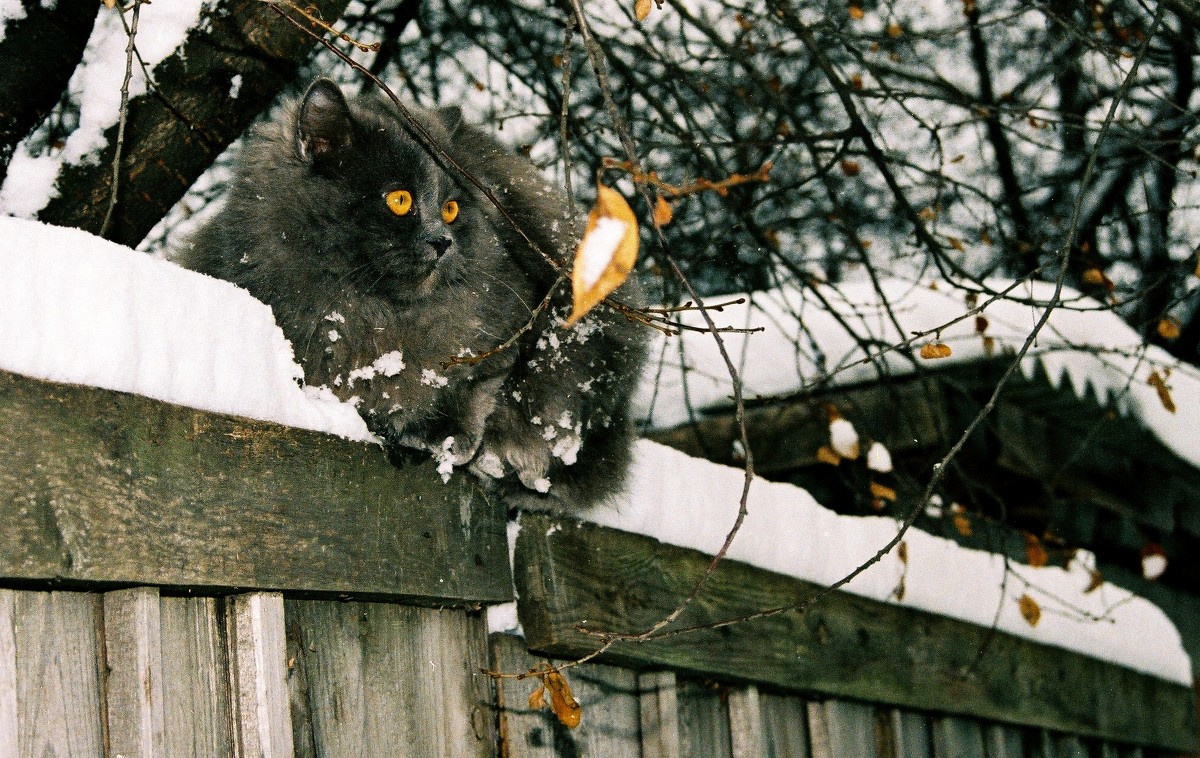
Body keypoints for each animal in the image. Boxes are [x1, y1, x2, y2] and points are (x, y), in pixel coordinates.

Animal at [177, 78, 643, 508]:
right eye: (399, 199)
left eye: (450, 209)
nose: (443, 241)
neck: (376, 312)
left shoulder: (512, 329)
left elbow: (482, 385)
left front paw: (453, 437)